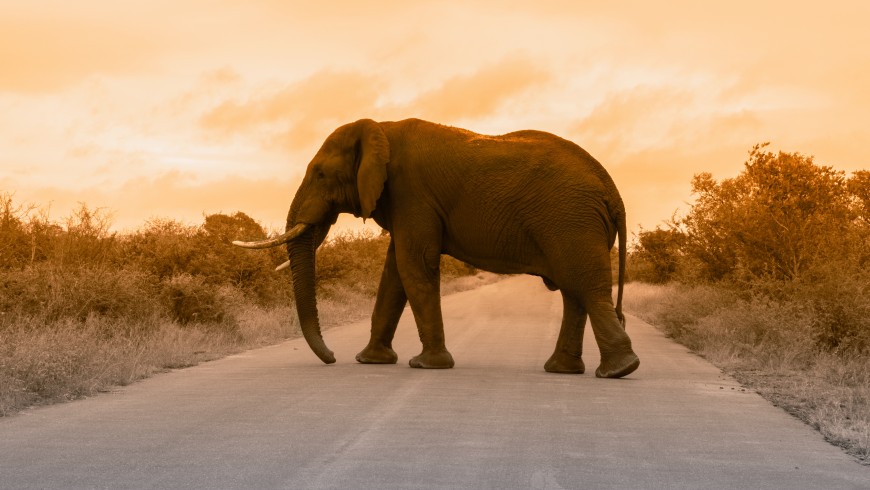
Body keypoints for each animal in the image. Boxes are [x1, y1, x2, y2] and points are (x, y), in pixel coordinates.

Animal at [233, 118, 640, 378]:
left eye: (320, 174)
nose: (332, 358)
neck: (381, 128)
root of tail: (613, 189)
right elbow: (394, 273)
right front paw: (371, 361)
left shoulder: (411, 192)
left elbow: (414, 264)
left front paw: (425, 365)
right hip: (574, 223)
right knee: (575, 293)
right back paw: (565, 370)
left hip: (571, 220)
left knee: (585, 288)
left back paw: (619, 371)